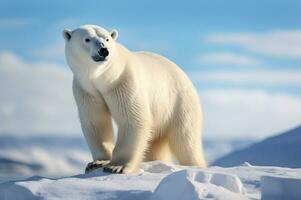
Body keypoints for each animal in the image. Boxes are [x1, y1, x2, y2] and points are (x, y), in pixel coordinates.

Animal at [62, 25, 205, 173]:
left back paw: (195, 165)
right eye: (87, 39)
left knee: (186, 141)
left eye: (107, 39)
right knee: (155, 144)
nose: (104, 51)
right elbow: (96, 121)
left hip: (179, 103)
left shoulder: (123, 83)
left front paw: (116, 166)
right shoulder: (87, 90)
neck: (103, 79)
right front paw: (97, 163)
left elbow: (132, 118)